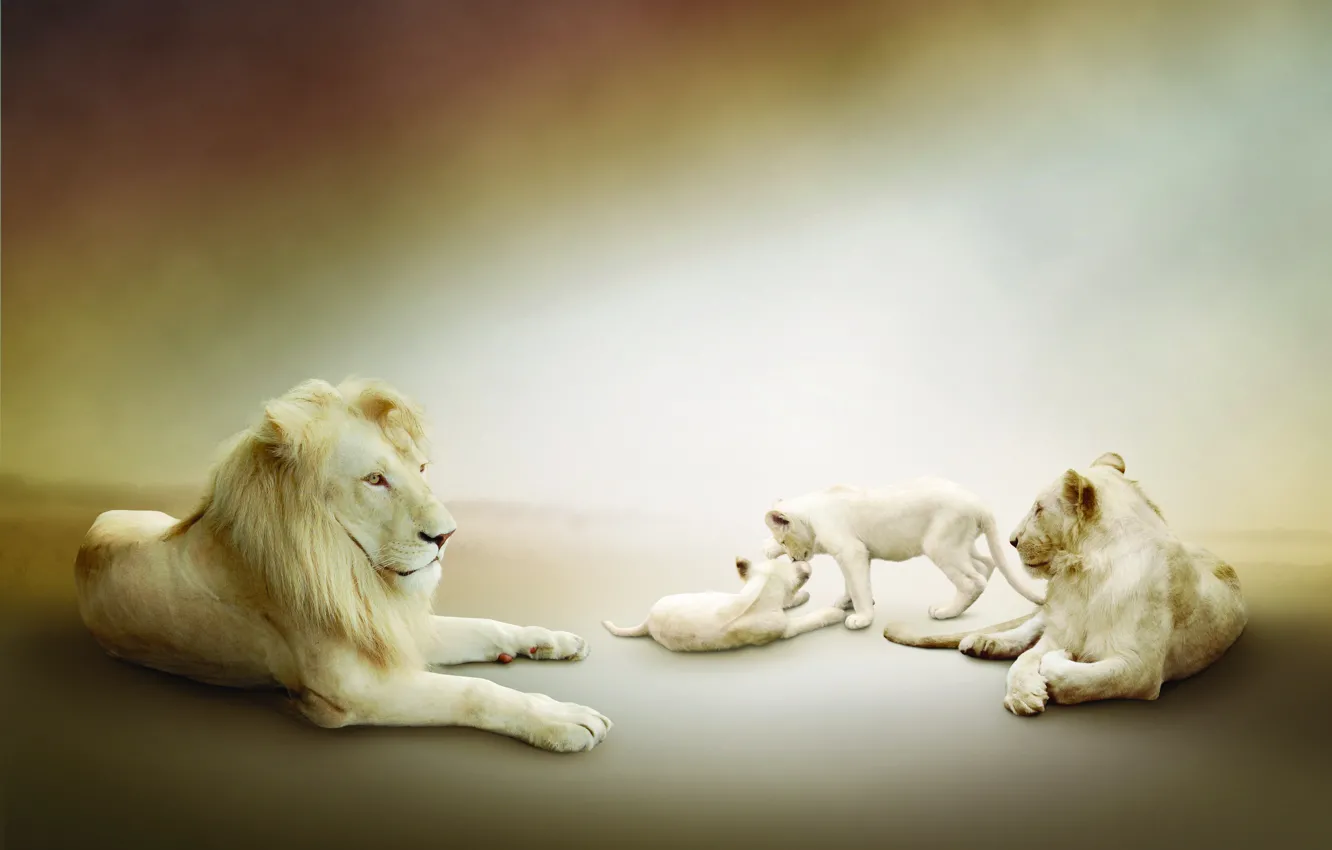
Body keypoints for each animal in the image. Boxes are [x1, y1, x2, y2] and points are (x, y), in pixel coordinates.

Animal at [73, 378, 612, 752]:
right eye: (375, 479)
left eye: (420, 469)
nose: (447, 536)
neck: (356, 574)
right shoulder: (352, 691)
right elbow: (474, 691)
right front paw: (563, 719)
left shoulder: (389, 627)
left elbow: (484, 625)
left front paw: (551, 640)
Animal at [601, 553, 848, 651]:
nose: (800, 560)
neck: (759, 593)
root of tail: (647, 621)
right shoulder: (784, 628)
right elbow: (810, 619)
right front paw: (836, 613)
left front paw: (802, 597)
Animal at [762, 479, 1047, 630]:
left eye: (783, 541)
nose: (794, 559)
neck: (813, 515)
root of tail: (980, 504)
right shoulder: (856, 553)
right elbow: (852, 583)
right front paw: (846, 602)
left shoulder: (851, 551)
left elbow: (858, 587)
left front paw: (862, 618)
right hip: (961, 546)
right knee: (985, 564)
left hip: (940, 546)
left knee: (972, 581)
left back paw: (946, 612)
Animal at [882, 452, 1247, 716]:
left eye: (1039, 509)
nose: (1012, 540)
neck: (1084, 576)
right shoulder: (1061, 626)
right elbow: (1024, 660)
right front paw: (1023, 695)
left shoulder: (1140, 668)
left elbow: (1083, 679)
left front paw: (1057, 666)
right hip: (1046, 614)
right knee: (1028, 629)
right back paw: (983, 641)